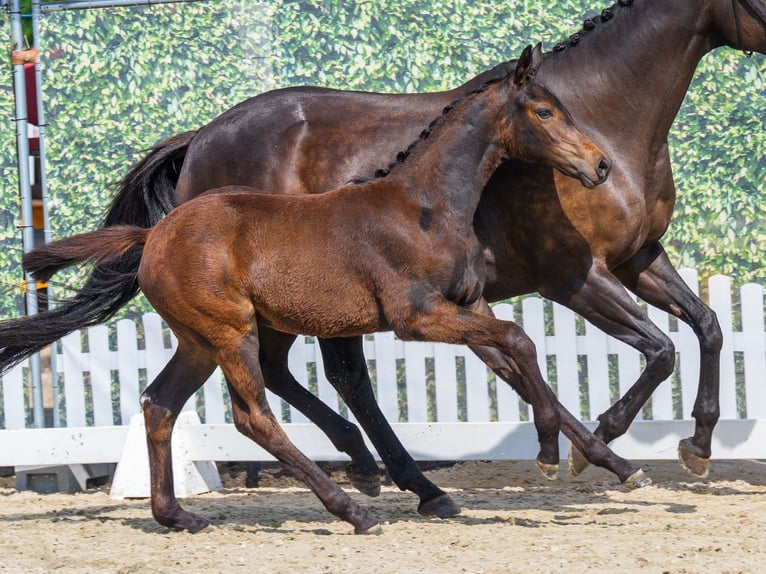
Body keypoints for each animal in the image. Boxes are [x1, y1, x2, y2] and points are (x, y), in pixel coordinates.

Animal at [2, 0, 764, 516]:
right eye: (548, 114)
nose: (597, 167)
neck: (610, 116)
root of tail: (199, 138)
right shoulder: (573, 275)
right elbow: (658, 348)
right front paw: (609, 435)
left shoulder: (638, 259)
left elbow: (706, 327)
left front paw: (694, 446)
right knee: (313, 378)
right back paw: (399, 475)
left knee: (310, 374)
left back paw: (395, 474)